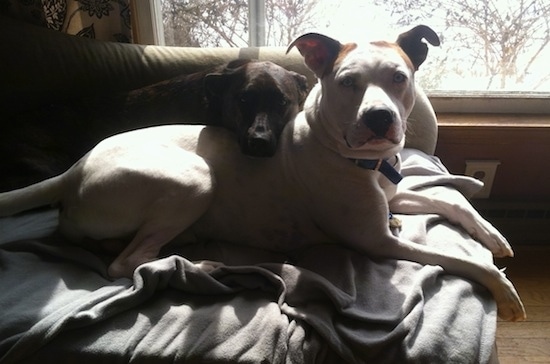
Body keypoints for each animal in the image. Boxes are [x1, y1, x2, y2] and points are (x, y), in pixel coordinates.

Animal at [0, 26, 528, 322]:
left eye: (399, 78)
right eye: (347, 82)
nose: (380, 119)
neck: (355, 158)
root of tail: (73, 170)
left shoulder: (391, 194)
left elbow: (450, 199)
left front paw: (494, 236)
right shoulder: (376, 242)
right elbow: (463, 261)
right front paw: (504, 291)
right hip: (193, 179)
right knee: (126, 264)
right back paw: (202, 263)